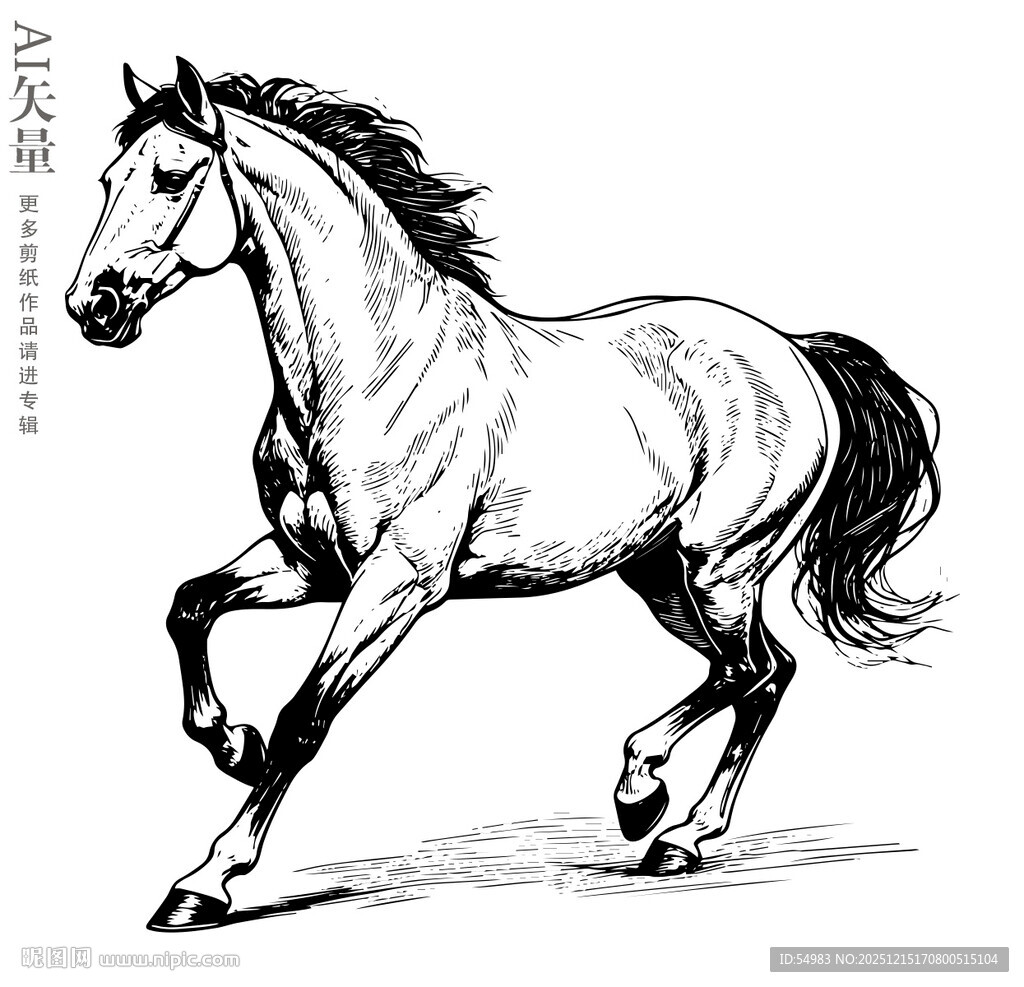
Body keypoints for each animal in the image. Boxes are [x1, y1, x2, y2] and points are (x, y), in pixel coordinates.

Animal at [66, 58, 941, 932]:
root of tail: (795, 351)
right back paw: (670, 827)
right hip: (662, 575)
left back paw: (651, 804)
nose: (92, 307)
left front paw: (203, 882)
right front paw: (229, 742)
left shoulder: (400, 582)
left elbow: (303, 720)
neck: (372, 371)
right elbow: (189, 605)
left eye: (173, 176)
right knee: (770, 671)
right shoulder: (308, 564)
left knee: (748, 672)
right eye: (108, 179)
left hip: (722, 564)